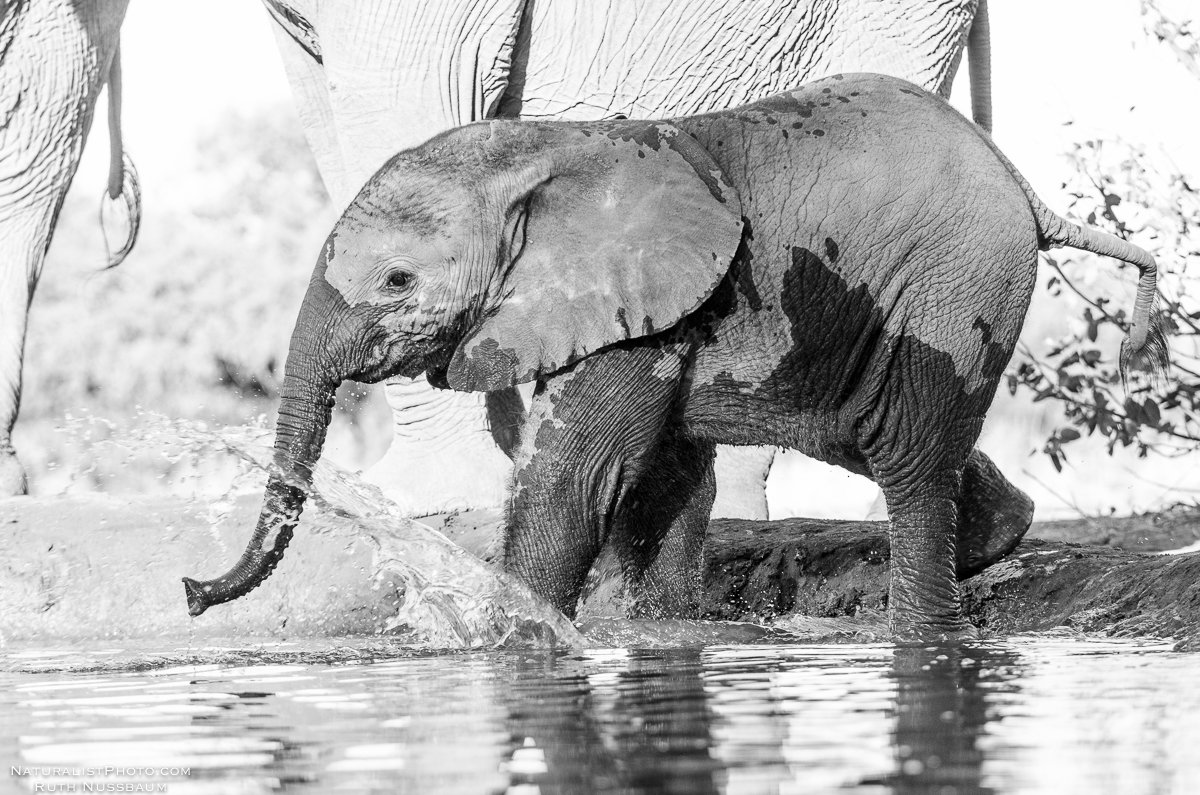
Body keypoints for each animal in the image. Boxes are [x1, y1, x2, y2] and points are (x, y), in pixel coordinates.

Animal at [182, 71, 1166, 638]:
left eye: (394, 280)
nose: (191, 590)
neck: (541, 147)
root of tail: (1024, 186)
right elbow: (662, 478)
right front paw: (660, 633)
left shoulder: (638, 304)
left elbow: (577, 473)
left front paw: (511, 637)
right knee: (868, 434)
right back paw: (999, 535)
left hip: (955, 281)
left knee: (906, 454)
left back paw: (923, 626)